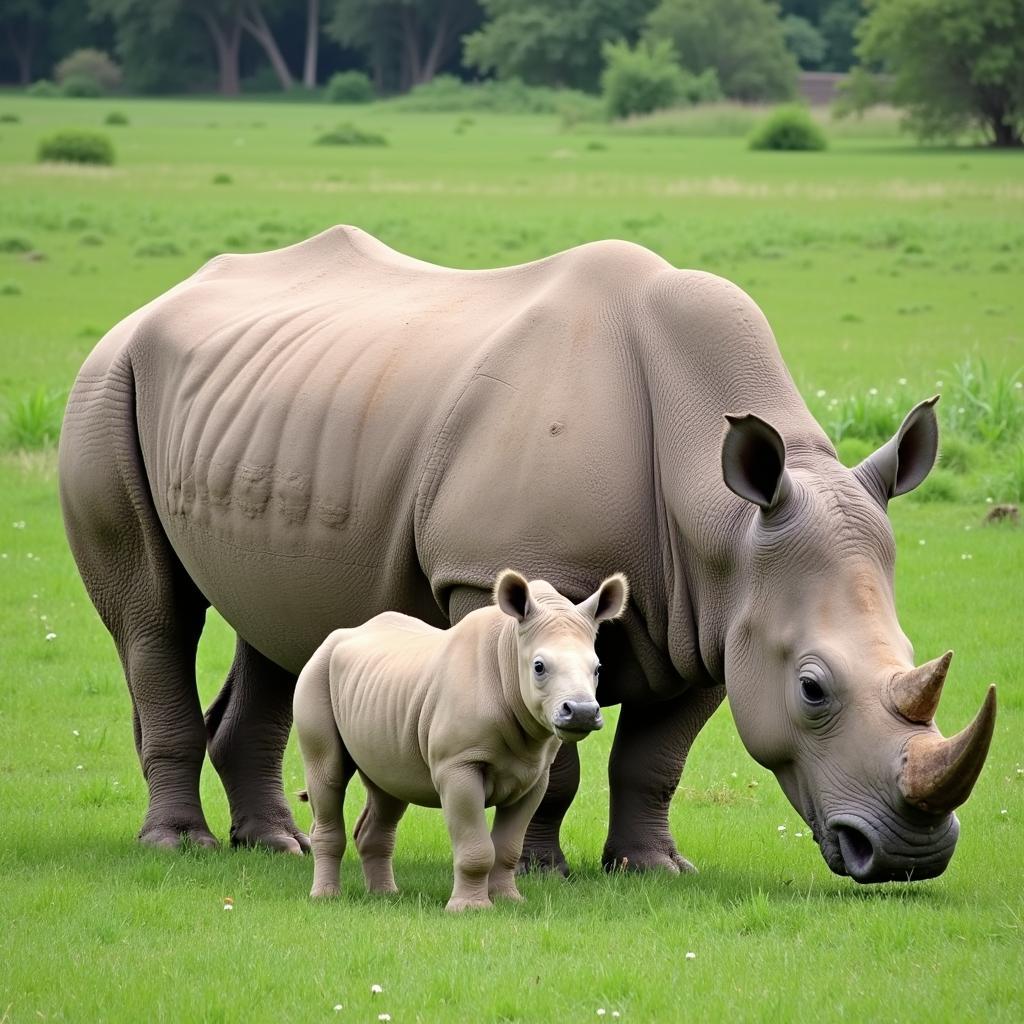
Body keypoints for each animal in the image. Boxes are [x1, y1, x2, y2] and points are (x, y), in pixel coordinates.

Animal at [288, 569, 622, 913]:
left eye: (598, 668)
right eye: (539, 667)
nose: (582, 712)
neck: (510, 650)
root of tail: (337, 636)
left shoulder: (534, 772)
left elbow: (508, 846)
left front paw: (509, 900)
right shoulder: (459, 763)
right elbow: (476, 846)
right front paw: (471, 909)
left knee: (388, 786)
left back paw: (385, 896)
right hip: (317, 671)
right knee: (327, 774)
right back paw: (326, 898)